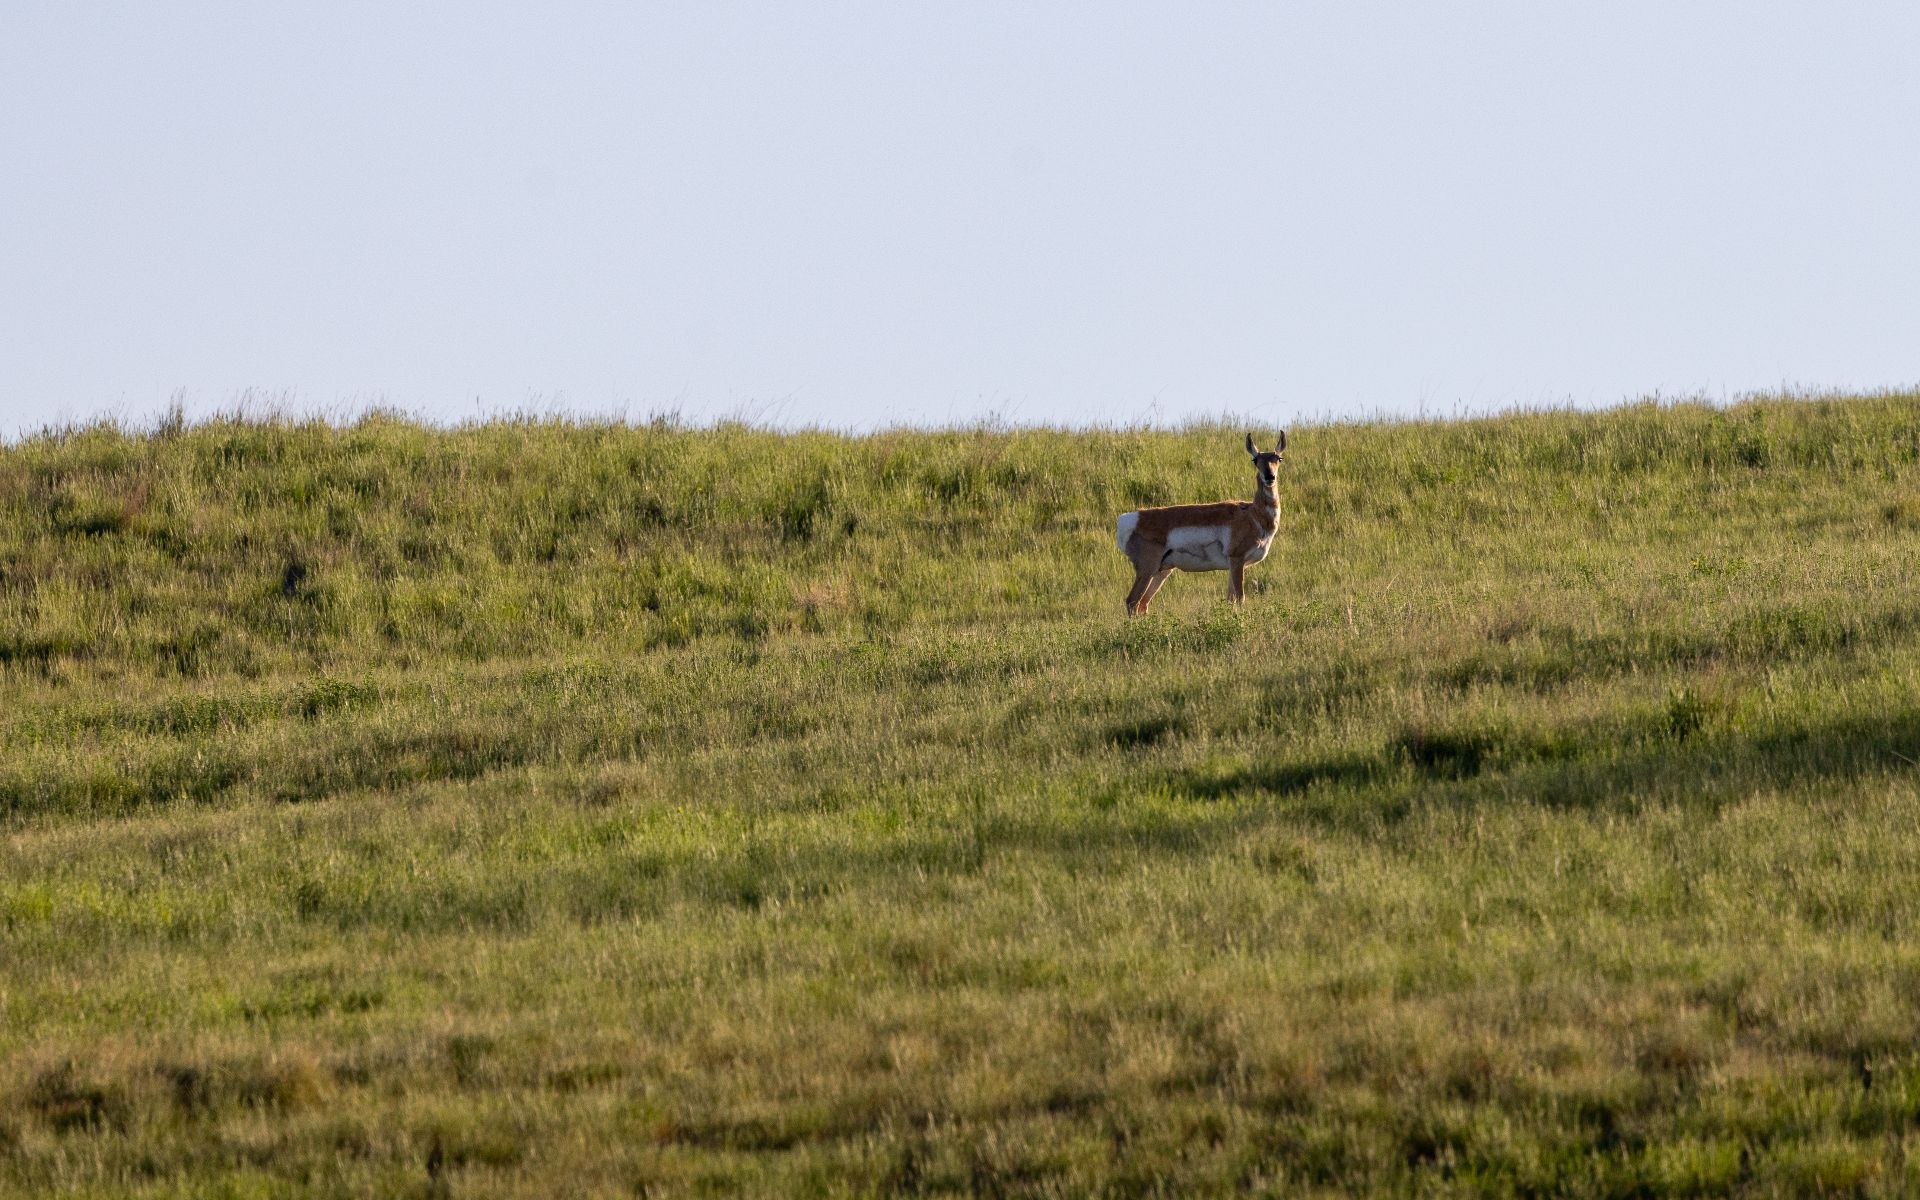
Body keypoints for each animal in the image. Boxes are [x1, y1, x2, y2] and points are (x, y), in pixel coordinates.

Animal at [1114, 432, 1287, 615]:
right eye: (1255, 459)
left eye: (1278, 458)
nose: (1269, 477)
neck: (1252, 514)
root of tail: (1129, 518)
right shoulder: (1237, 560)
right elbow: (1240, 598)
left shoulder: (1236, 566)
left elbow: (1230, 600)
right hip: (1147, 569)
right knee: (1132, 601)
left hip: (1162, 571)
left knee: (1143, 603)